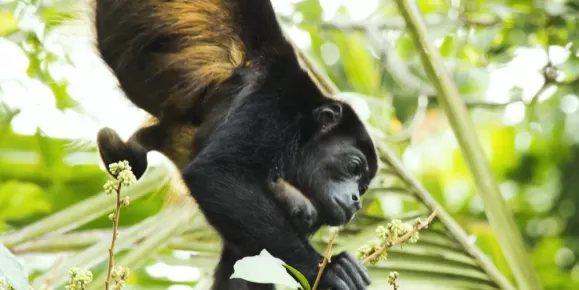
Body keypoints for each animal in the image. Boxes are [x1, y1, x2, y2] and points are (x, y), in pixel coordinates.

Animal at [93, 0, 378, 288]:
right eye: (354, 166)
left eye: (363, 188)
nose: (356, 201)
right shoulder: (273, 102)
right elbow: (215, 173)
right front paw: (330, 268)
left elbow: (246, 262)